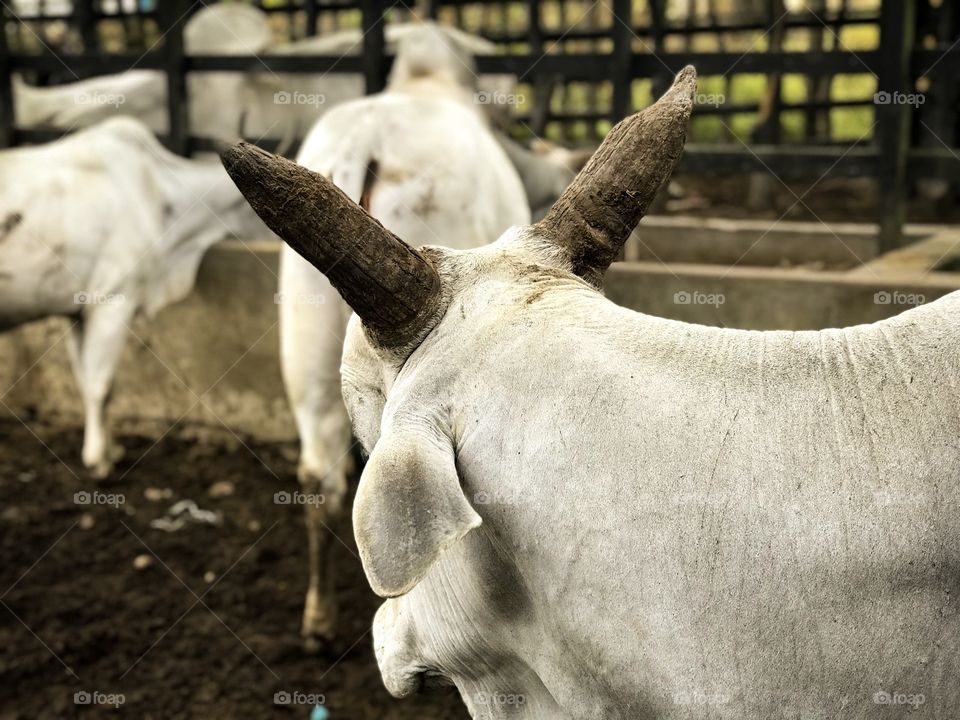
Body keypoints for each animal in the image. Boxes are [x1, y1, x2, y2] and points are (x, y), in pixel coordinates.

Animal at [0, 117, 265, 477]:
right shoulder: (113, 300)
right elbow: (101, 386)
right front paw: (98, 461)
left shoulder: (76, 313)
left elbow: (87, 382)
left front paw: (111, 449)